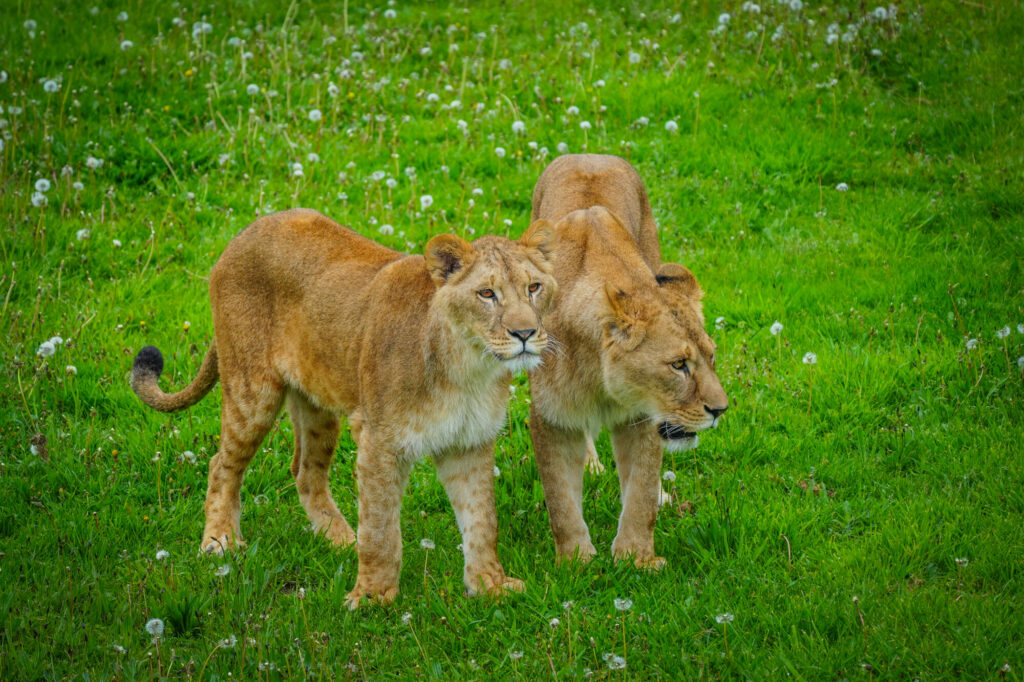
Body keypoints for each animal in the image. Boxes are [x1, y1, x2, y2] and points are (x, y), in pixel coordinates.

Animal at [130, 208, 556, 608]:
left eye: (533, 287)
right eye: (486, 294)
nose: (525, 333)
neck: (469, 367)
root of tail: (243, 233)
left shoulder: (469, 443)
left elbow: (482, 520)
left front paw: (489, 585)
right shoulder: (380, 442)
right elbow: (381, 530)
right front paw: (372, 599)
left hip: (318, 404)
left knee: (305, 472)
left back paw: (340, 540)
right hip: (253, 391)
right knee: (222, 464)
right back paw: (220, 541)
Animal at [527, 154, 728, 568]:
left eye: (712, 357)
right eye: (678, 365)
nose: (721, 410)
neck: (597, 375)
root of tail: (589, 155)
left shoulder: (645, 416)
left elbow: (641, 492)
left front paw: (636, 558)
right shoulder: (548, 417)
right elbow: (560, 498)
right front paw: (576, 562)